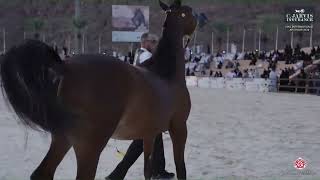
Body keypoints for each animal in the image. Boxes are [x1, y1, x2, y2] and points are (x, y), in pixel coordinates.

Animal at [0, 0, 198, 179]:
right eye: (189, 13)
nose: (198, 22)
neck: (166, 75)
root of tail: (65, 67)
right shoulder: (179, 128)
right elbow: (181, 167)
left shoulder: (150, 133)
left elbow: (147, 169)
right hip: (90, 145)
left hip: (63, 138)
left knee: (42, 173)